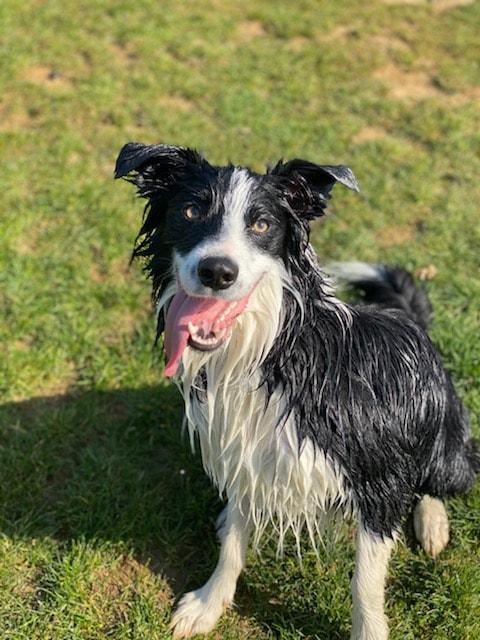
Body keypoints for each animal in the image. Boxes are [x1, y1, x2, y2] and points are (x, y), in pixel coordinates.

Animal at [114, 142, 478, 640]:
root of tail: (407, 316)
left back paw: (432, 521)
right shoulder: (244, 451)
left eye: (262, 224)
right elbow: (233, 545)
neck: (273, 354)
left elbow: (365, 580)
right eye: (190, 211)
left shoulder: (379, 481)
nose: (217, 272)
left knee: (440, 479)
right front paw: (209, 604)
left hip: (443, 442)